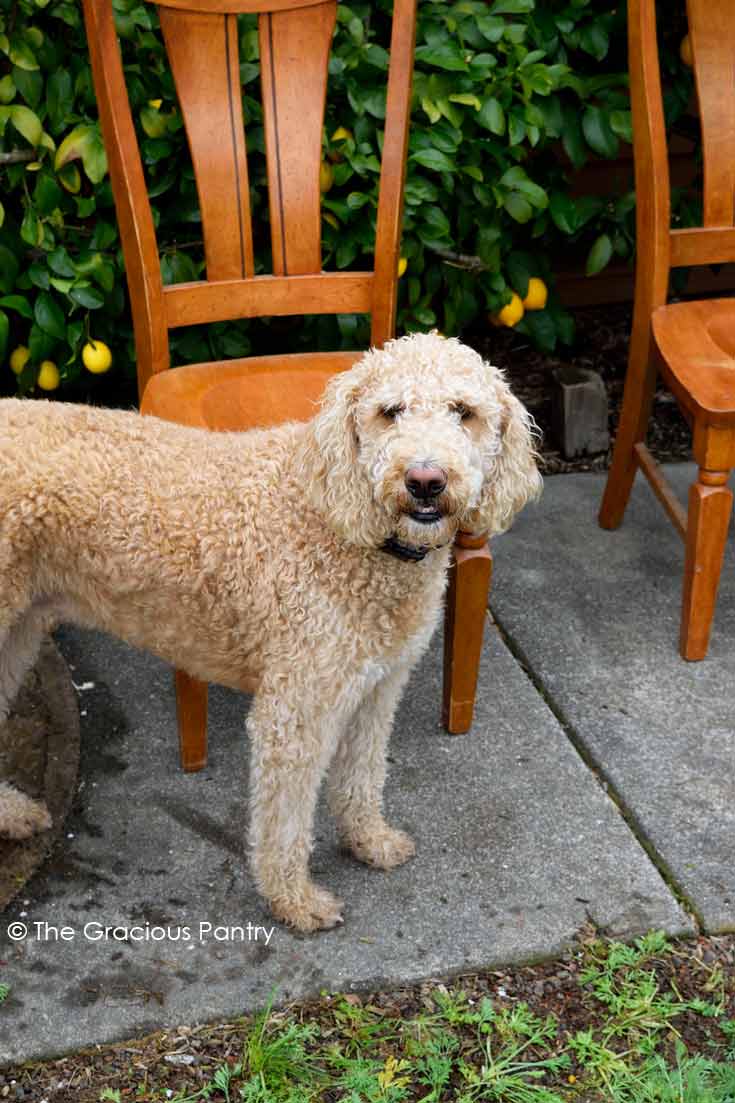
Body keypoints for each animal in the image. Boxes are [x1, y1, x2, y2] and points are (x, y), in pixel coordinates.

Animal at [0, 333, 538, 930]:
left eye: (464, 412)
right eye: (390, 412)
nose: (424, 481)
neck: (344, 525)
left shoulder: (376, 689)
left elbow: (363, 775)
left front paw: (369, 840)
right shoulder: (295, 711)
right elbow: (285, 820)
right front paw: (293, 900)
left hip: (19, 629)